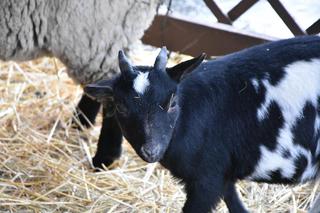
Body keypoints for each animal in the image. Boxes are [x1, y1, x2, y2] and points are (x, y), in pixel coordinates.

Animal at [85, 35, 320, 212]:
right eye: (120, 107)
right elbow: (235, 204)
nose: (151, 151)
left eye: (172, 102)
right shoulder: (220, 173)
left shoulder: (206, 179)